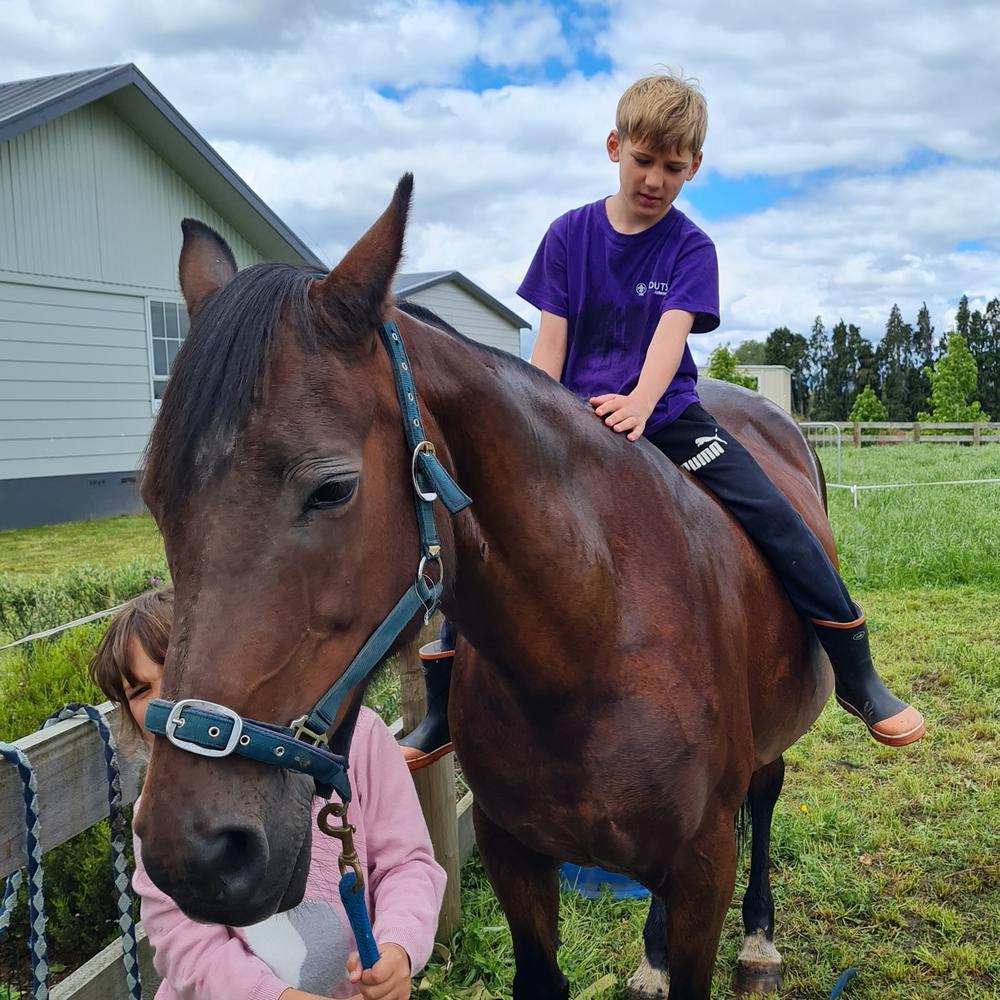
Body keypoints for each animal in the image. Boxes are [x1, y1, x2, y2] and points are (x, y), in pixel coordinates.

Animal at [135, 175, 835, 1000]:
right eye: (153, 498)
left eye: (332, 489)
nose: (196, 853)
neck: (593, 644)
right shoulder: (513, 852)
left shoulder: (703, 867)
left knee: (767, 791)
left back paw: (759, 940)